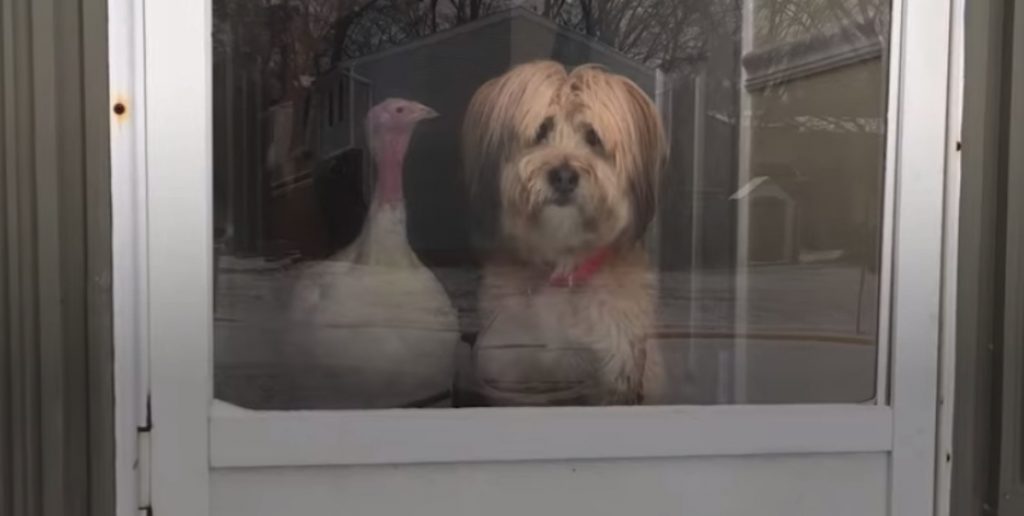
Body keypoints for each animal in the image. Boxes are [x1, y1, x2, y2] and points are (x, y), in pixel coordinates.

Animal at [460, 60, 667, 407]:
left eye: (593, 137)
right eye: (541, 130)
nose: (564, 176)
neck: (562, 268)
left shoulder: (613, 374)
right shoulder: (513, 373)